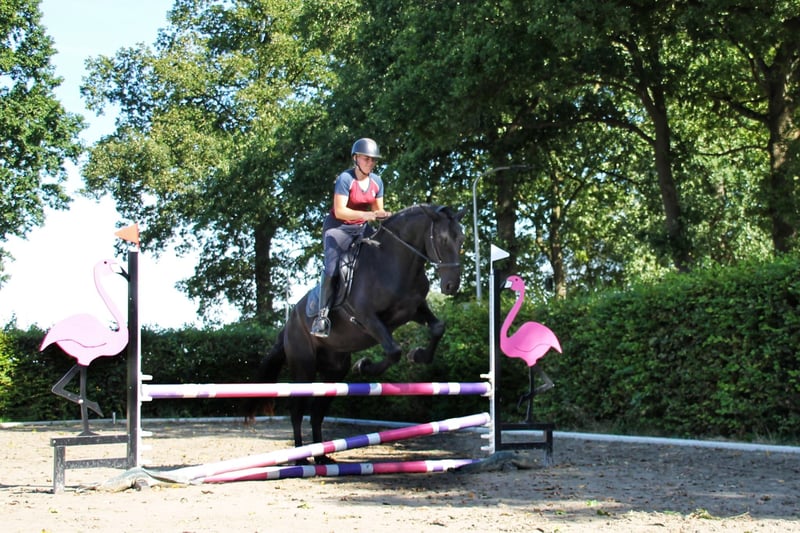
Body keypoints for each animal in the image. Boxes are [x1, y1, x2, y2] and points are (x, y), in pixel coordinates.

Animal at [247, 204, 466, 463]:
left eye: (461, 239)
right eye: (442, 239)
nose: (451, 286)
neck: (396, 262)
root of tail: (288, 325)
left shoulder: (414, 309)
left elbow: (438, 327)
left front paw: (419, 355)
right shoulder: (366, 317)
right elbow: (394, 350)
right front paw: (365, 366)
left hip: (334, 371)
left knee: (317, 412)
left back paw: (321, 457)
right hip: (304, 368)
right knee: (297, 410)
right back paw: (300, 458)